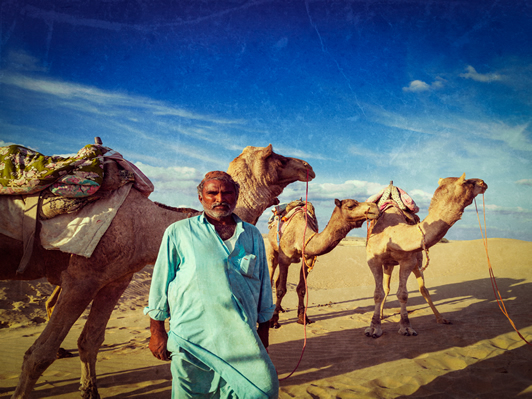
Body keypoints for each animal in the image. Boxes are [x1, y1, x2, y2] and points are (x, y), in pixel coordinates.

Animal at [0, 144, 314, 399]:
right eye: (279, 158)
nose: (308, 166)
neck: (143, 225)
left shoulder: (115, 279)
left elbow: (90, 341)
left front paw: (90, 392)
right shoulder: (82, 279)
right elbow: (38, 355)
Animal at [266, 198, 378, 330]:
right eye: (351, 206)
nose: (375, 207)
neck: (300, 236)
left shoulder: (308, 259)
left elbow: (301, 289)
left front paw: (303, 318)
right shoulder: (285, 258)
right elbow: (281, 290)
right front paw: (273, 321)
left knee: (277, 280)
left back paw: (281, 309)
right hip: (272, 249)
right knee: (270, 276)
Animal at [366, 173, 486, 340]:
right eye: (467, 181)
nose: (483, 182)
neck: (394, 232)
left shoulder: (408, 261)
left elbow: (403, 294)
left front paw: (406, 327)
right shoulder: (373, 260)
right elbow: (378, 293)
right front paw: (374, 328)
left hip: (417, 261)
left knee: (423, 289)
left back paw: (441, 318)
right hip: (389, 264)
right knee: (387, 288)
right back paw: (382, 315)